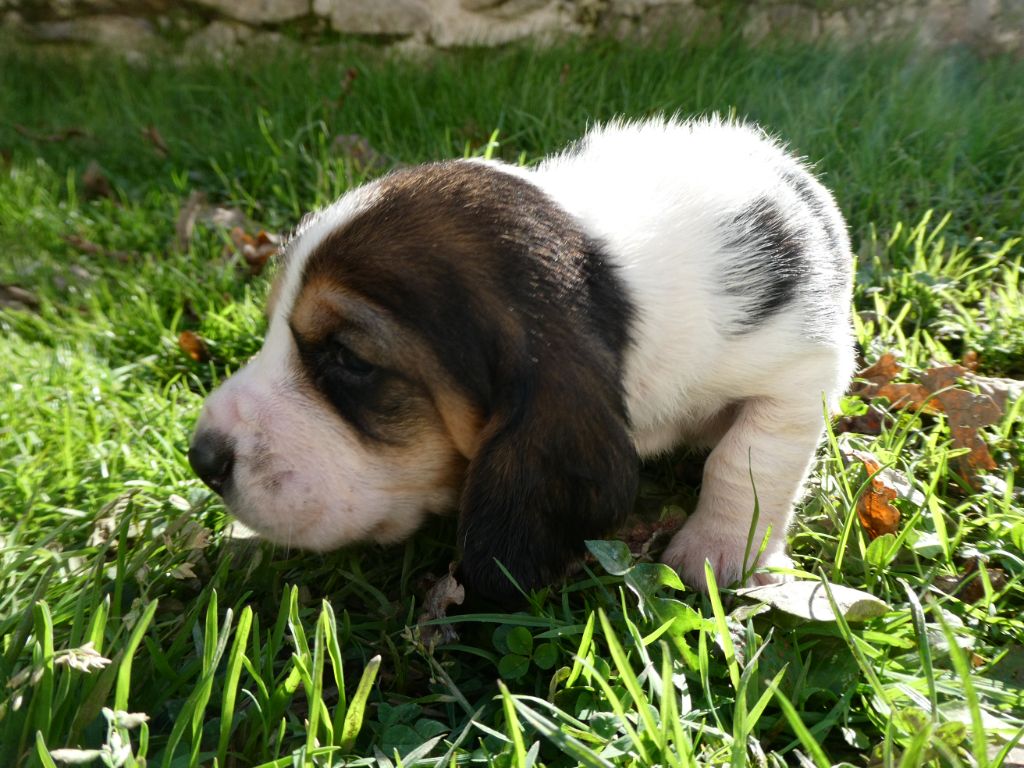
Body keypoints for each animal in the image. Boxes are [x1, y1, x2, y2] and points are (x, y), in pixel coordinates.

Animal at [188, 117, 855, 603]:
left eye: (350, 359)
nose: (202, 459)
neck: (615, 284)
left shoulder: (801, 370)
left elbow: (747, 457)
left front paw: (717, 551)